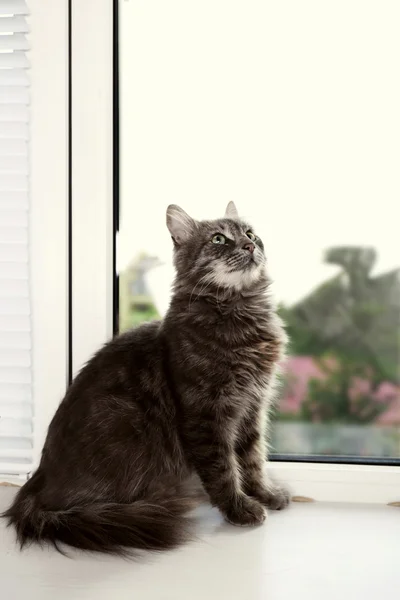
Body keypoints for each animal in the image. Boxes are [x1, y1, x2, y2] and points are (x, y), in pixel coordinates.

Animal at [3, 204, 290, 556]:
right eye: (219, 239)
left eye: (250, 234)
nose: (249, 246)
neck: (238, 309)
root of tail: (37, 481)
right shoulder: (205, 414)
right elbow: (223, 468)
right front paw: (239, 508)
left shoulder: (252, 406)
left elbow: (252, 458)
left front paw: (265, 493)